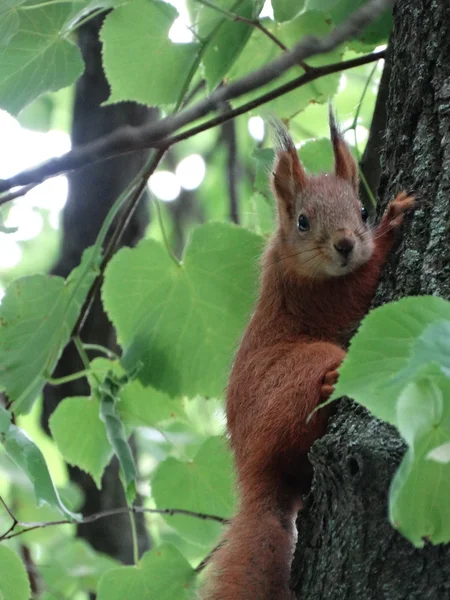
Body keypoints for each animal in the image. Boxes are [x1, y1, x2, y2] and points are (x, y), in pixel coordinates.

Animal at [200, 109, 414, 600]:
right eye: (302, 221)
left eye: (361, 210)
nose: (346, 244)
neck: (293, 261)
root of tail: (252, 470)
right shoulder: (312, 297)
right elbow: (358, 288)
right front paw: (391, 227)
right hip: (296, 373)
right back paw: (330, 380)